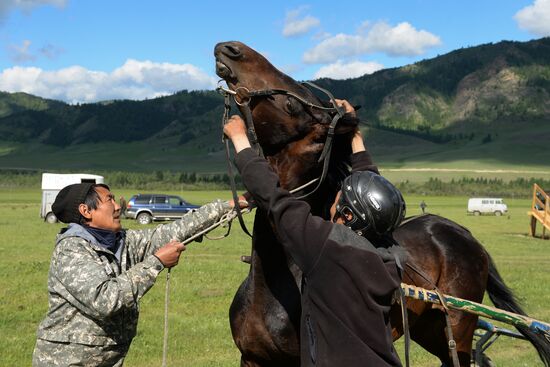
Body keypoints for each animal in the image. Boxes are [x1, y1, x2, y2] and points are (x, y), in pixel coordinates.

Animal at [216, 41, 550, 367]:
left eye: (291, 104)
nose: (232, 49)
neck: (274, 284)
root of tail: (463, 234)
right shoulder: (251, 359)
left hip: (459, 329)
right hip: (430, 331)